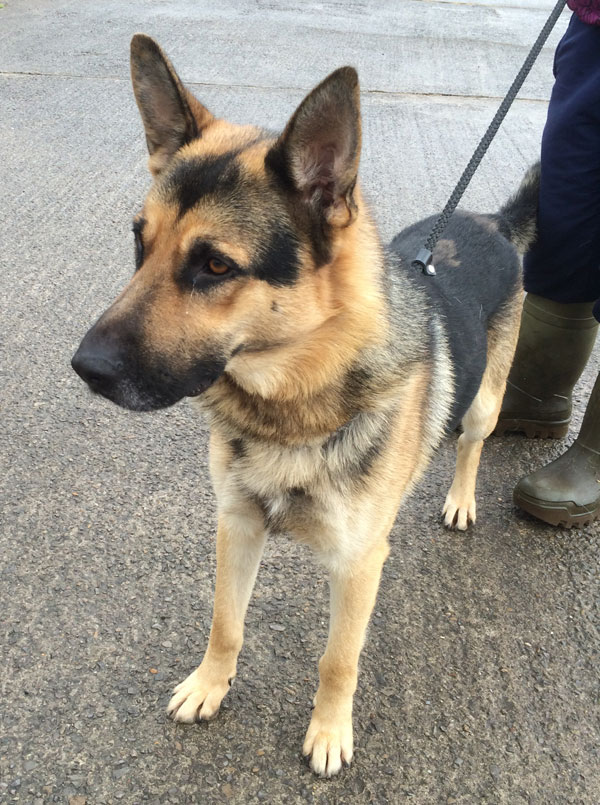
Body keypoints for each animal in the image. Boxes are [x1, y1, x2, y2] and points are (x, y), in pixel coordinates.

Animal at [71, 34, 540, 776]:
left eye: (215, 266)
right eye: (140, 243)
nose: (84, 368)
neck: (293, 401)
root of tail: (490, 220)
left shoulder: (355, 564)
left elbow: (338, 659)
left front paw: (328, 730)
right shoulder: (237, 524)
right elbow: (225, 623)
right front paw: (209, 686)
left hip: (485, 404)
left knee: (470, 442)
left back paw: (460, 497)